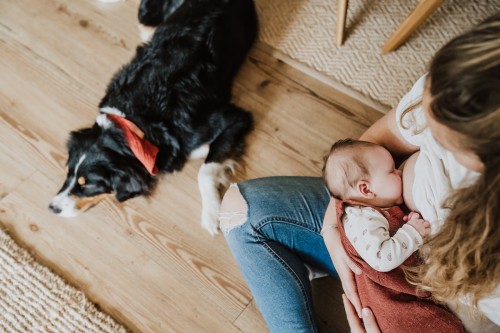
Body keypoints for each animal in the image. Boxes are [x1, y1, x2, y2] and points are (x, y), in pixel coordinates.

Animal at [47, 0, 258, 233]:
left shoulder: (234, 118)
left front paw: (213, 215)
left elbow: (205, 171)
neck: (134, 122)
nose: (52, 208)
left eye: (88, 184)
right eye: (68, 172)